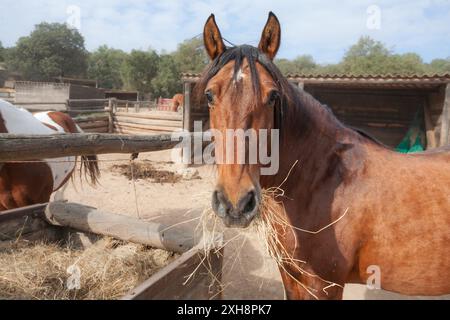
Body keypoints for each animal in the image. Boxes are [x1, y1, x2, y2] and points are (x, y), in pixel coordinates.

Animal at [200, 13, 450, 300]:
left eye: (272, 96)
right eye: (209, 94)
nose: (236, 203)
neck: (319, 180)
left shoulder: (324, 286)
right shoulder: (291, 277)